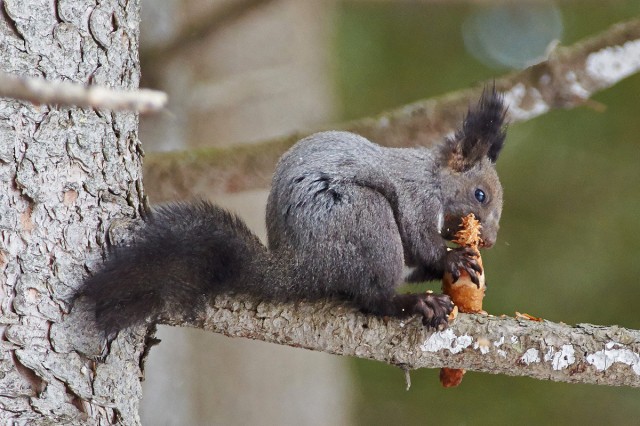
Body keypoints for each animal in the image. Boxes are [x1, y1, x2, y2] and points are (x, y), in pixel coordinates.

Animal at [77, 87, 507, 335]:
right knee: (372, 297)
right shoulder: (416, 197)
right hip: (365, 217)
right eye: (481, 195)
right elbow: (420, 242)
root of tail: (303, 265)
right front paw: (454, 258)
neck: (433, 177)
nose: (490, 241)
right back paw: (414, 304)